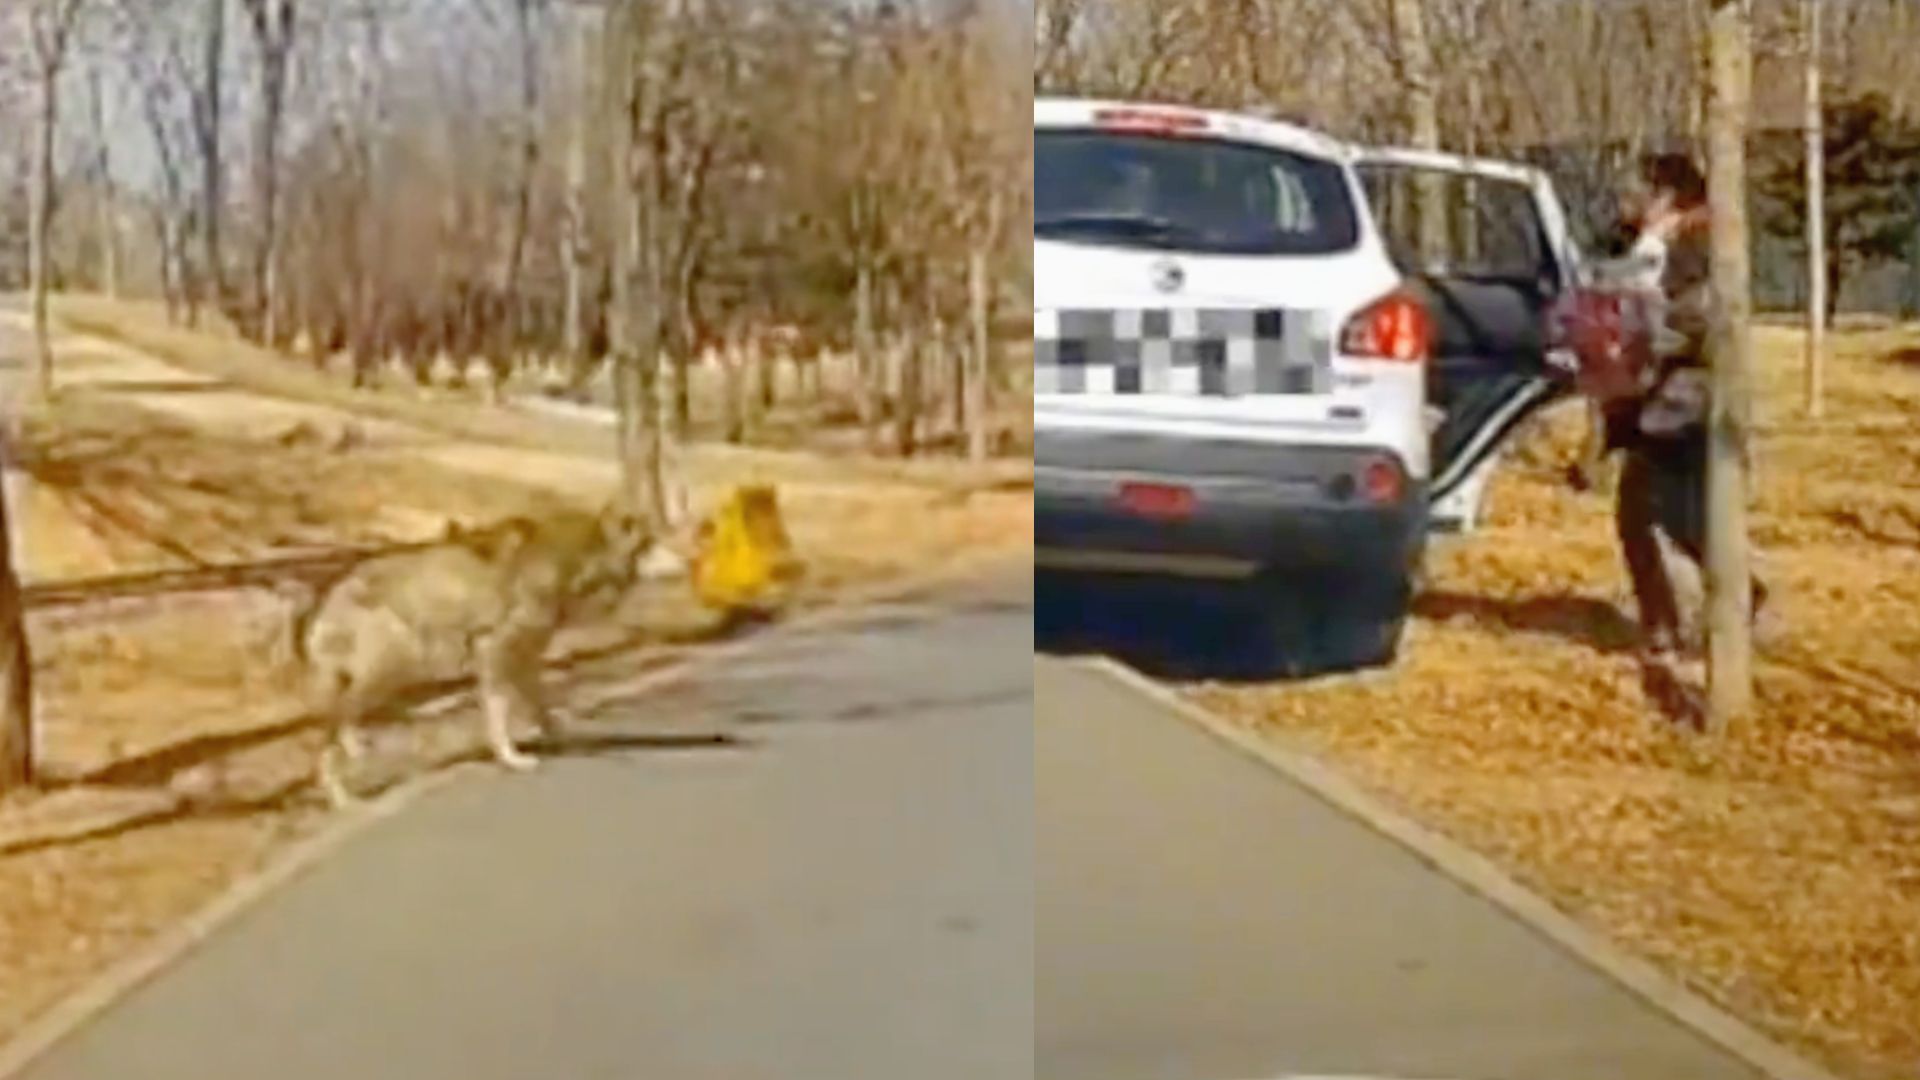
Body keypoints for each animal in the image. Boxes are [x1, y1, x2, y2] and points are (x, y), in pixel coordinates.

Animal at [288, 507, 695, 803]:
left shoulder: (526, 656)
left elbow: (541, 708)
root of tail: (327, 594)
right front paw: (511, 758)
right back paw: (344, 791)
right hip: (394, 664)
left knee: (343, 728)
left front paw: (563, 740)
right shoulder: (494, 651)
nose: (690, 561)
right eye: (652, 543)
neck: (572, 562)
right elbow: (499, 714)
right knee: (331, 736)